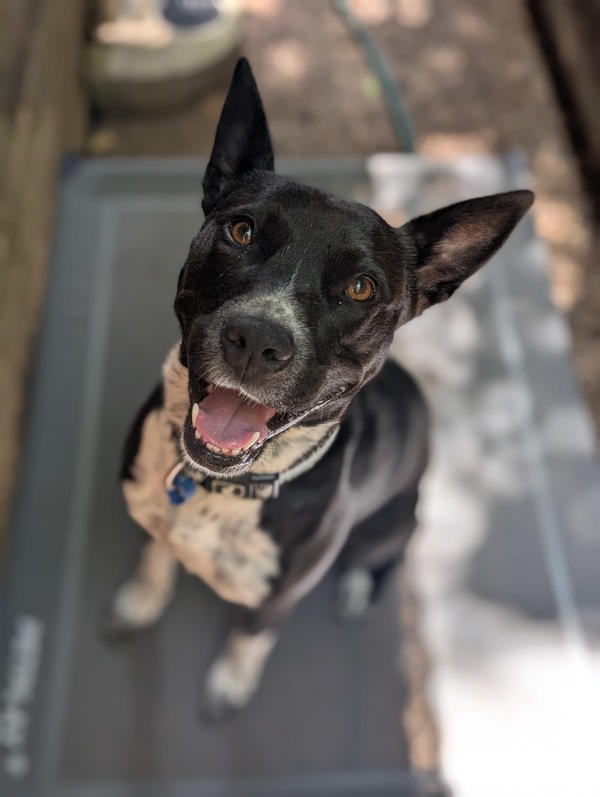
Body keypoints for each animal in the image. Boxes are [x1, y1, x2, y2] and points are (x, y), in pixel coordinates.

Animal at [106, 58, 533, 719]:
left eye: (361, 288)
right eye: (241, 231)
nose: (256, 340)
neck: (216, 487)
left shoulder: (279, 597)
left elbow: (252, 633)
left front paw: (231, 682)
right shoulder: (155, 519)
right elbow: (156, 556)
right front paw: (142, 598)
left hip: (396, 520)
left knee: (380, 558)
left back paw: (356, 587)